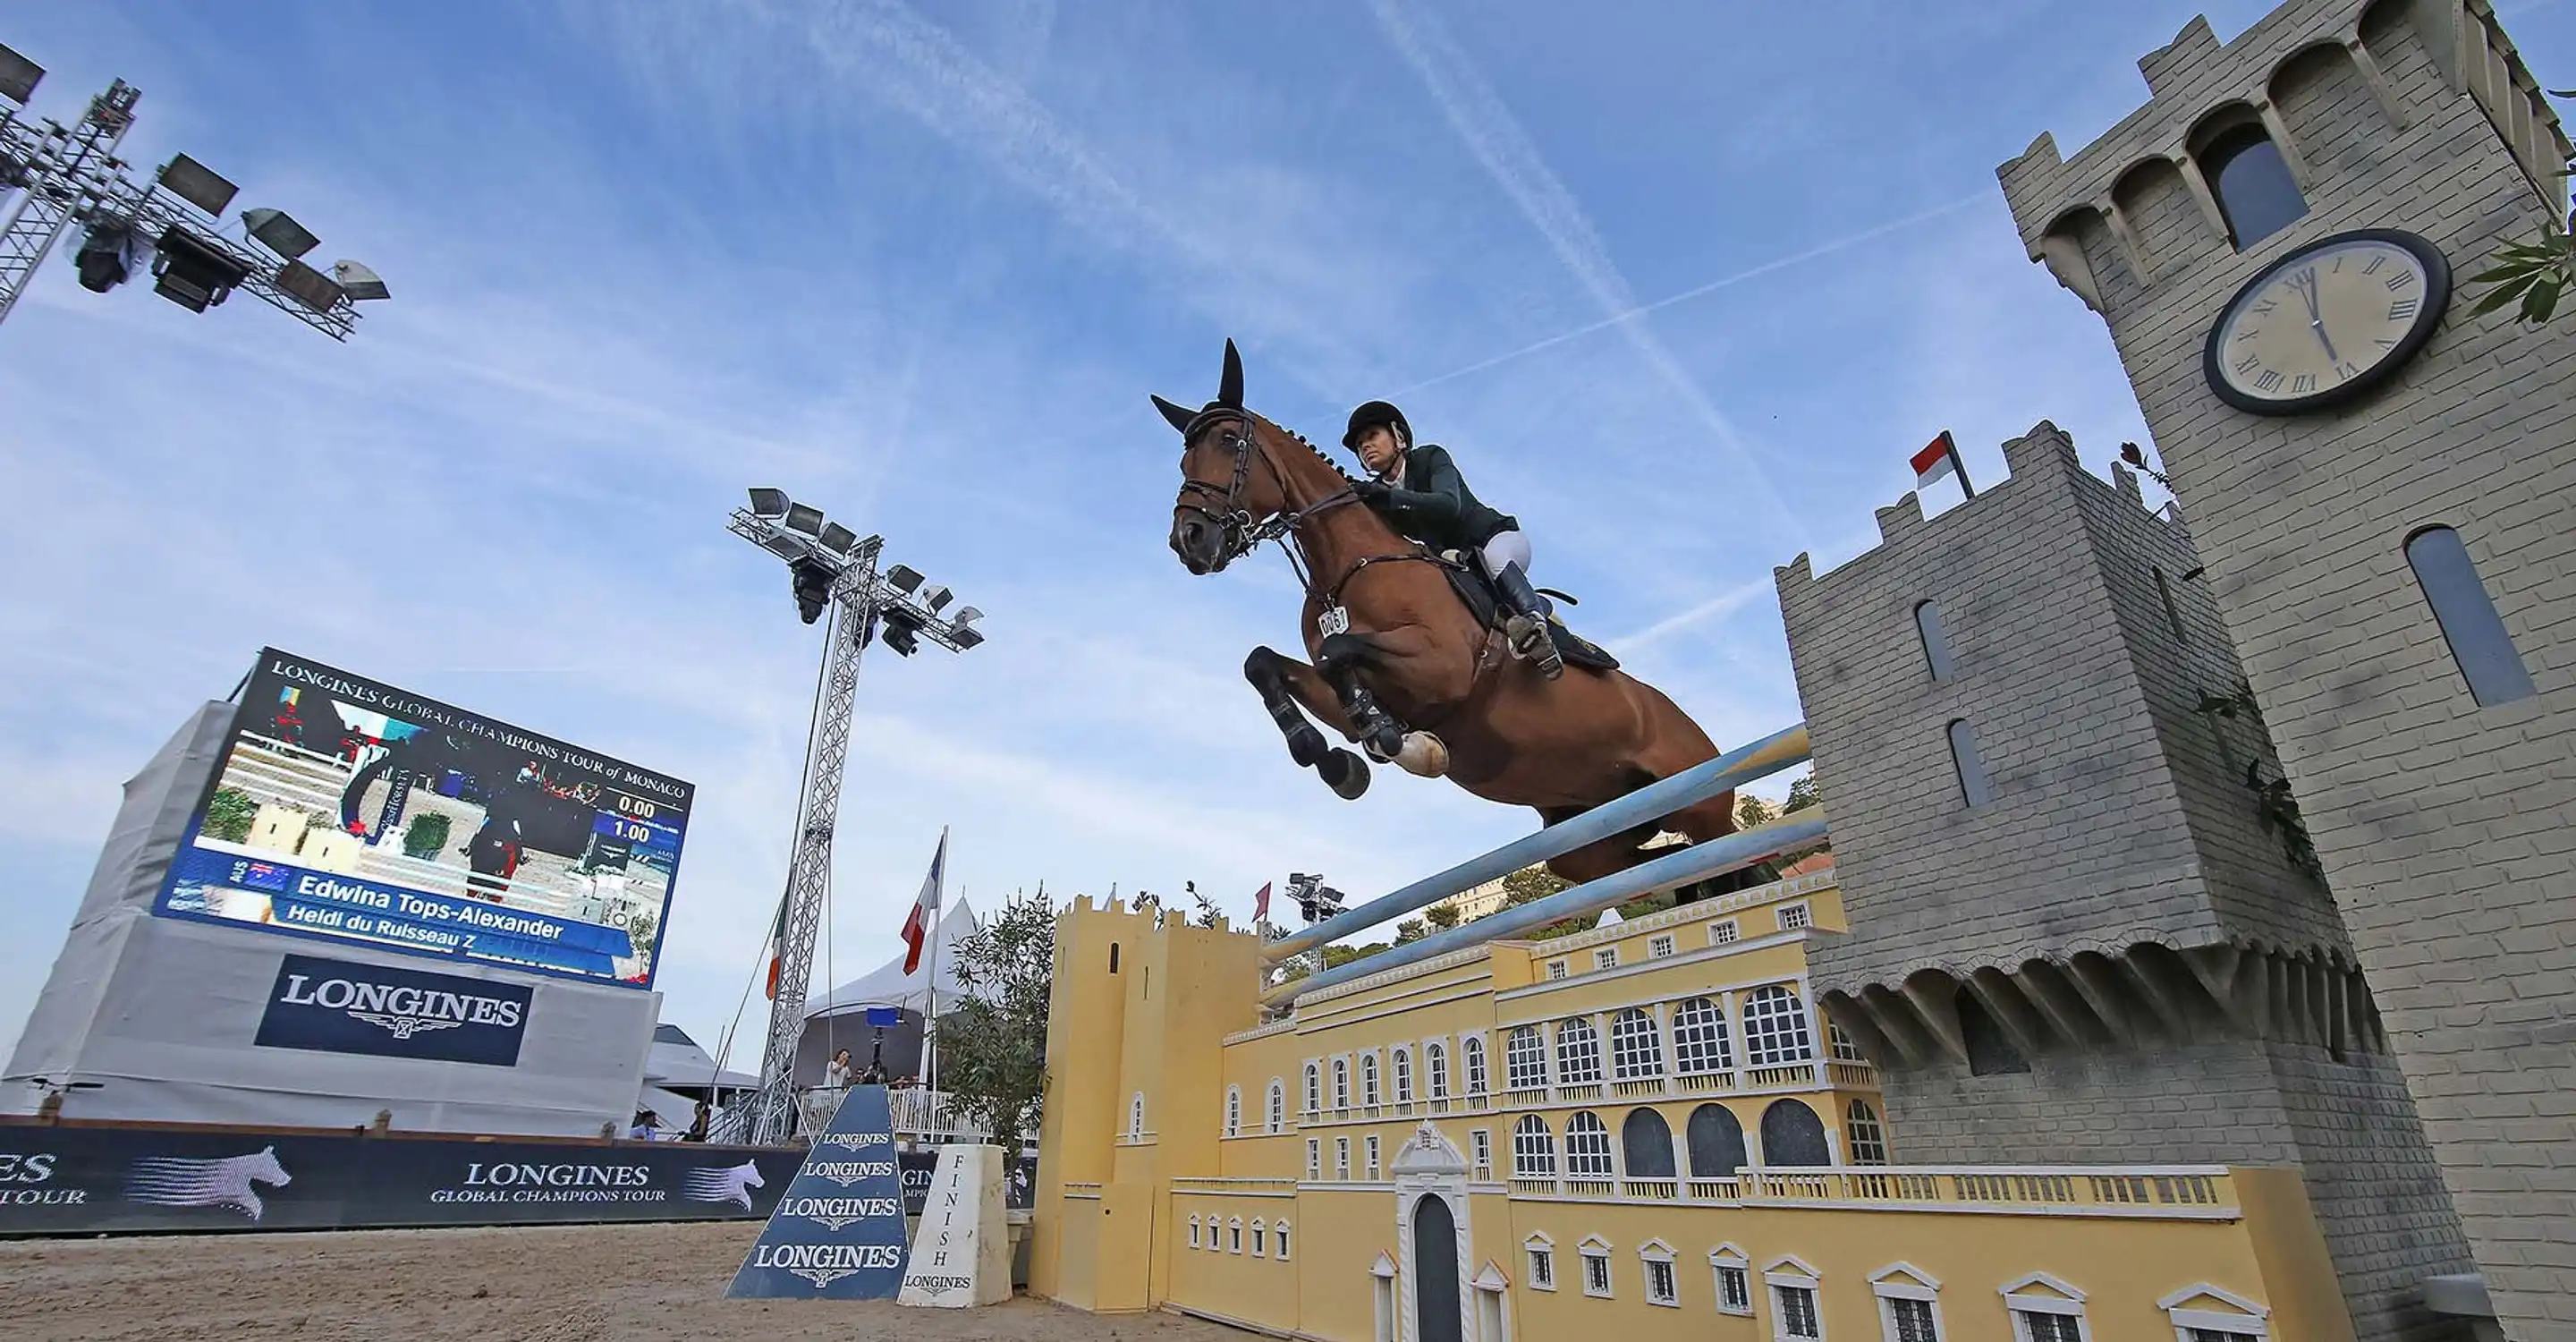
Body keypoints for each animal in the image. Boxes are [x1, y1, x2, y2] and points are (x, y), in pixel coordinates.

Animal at [1159, 342, 1741, 891]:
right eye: (1183, 463)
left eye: (1229, 442)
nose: (1189, 540)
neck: (1344, 570)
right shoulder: (1364, 691)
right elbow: (1266, 664)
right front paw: (1337, 760)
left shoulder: (1445, 668)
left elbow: (1337, 653)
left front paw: (1395, 742)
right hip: (1589, 840)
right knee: (1660, 865)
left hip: (1702, 807)